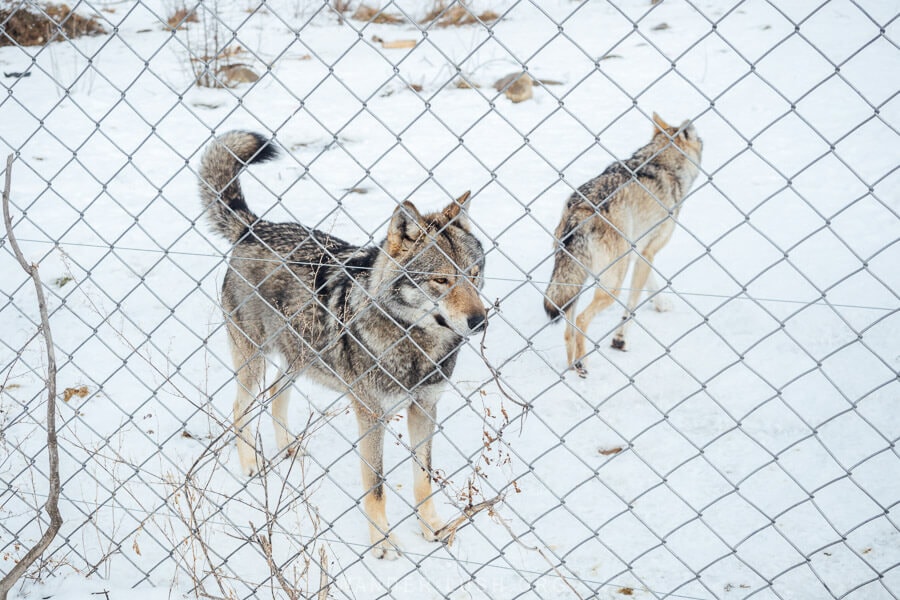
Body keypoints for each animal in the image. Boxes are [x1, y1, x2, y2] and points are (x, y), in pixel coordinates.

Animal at [201, 131, 488, 556]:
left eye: (474, 274)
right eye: (441, 280)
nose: (480, 321)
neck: (414, 344)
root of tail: (256, 227)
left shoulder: (425, 408)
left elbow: (423, 477)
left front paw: (433, 527)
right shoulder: (371, 416)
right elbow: (377, 487)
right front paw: (382, 543)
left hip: (299, 359)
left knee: (276, 394)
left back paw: (289, 450)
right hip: (255, 360)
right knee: (240, 408)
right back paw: (251, 465)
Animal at [540, 113, 704, 376]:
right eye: (700, 140)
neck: (662, 162)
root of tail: (580, 211)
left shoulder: (640, 251)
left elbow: (652, 285)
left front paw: (661, 304)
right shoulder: (648, 251)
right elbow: (632, 305)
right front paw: (620, 340)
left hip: (574, 282)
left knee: (568, 330)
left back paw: (573, 367)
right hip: (611, 286)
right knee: (581, 320)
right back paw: (583, 365)